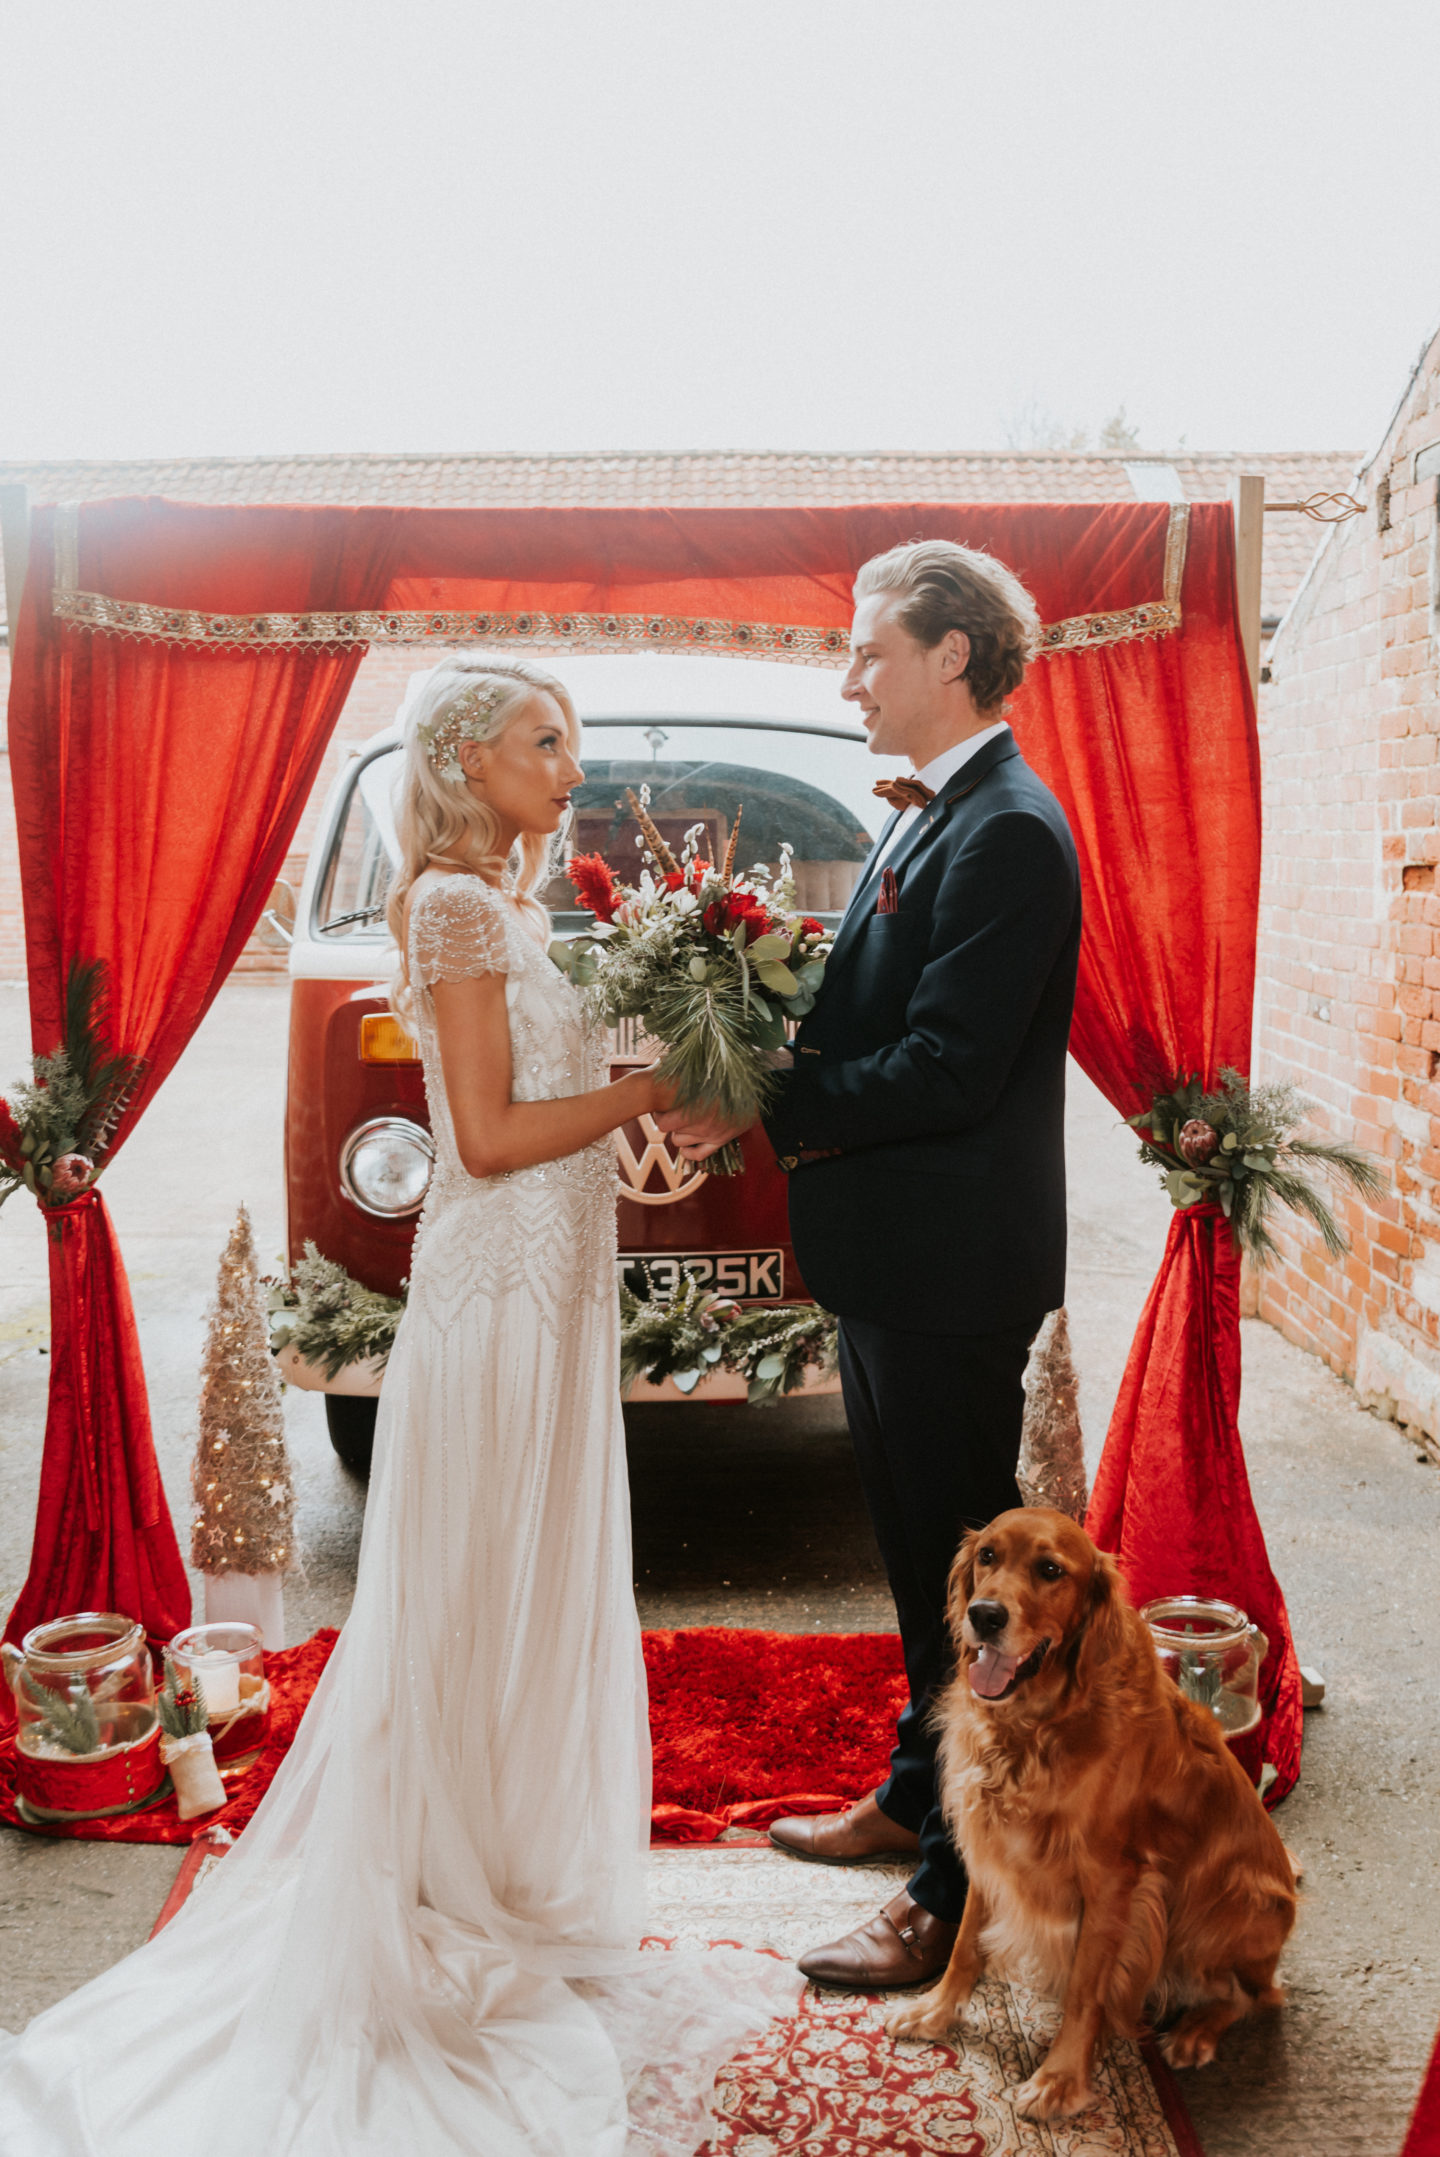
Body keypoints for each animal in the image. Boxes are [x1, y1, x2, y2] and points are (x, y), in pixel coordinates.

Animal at [883, 1509, 1302, 2113]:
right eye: (987, 1556)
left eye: (1050, 1570)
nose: (984, 1615)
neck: (1036, 1727)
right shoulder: (989, 1847)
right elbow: (965, 1944)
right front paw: (935, 2011)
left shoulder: (1114, 1883)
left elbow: (1087, 1990)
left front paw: (1059, 2079)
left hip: (1231, 1903)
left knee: (1256, 1994)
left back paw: (1196, 2031)